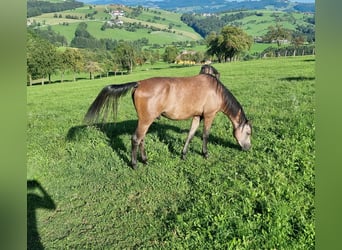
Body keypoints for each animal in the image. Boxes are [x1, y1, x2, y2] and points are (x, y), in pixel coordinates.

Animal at [85, 69, 251, 169]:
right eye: (249, 133)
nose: (248, 148)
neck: (216, 91)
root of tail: (139, 83)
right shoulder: (209, 115)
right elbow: (205, 135)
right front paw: (205, 154)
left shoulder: (197, 116)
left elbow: (190, 135)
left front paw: (183, 154)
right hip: (146, 121)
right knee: (136, 139)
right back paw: (135, 164)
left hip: (145, 121)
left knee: (141, 139)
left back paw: (145, 160)